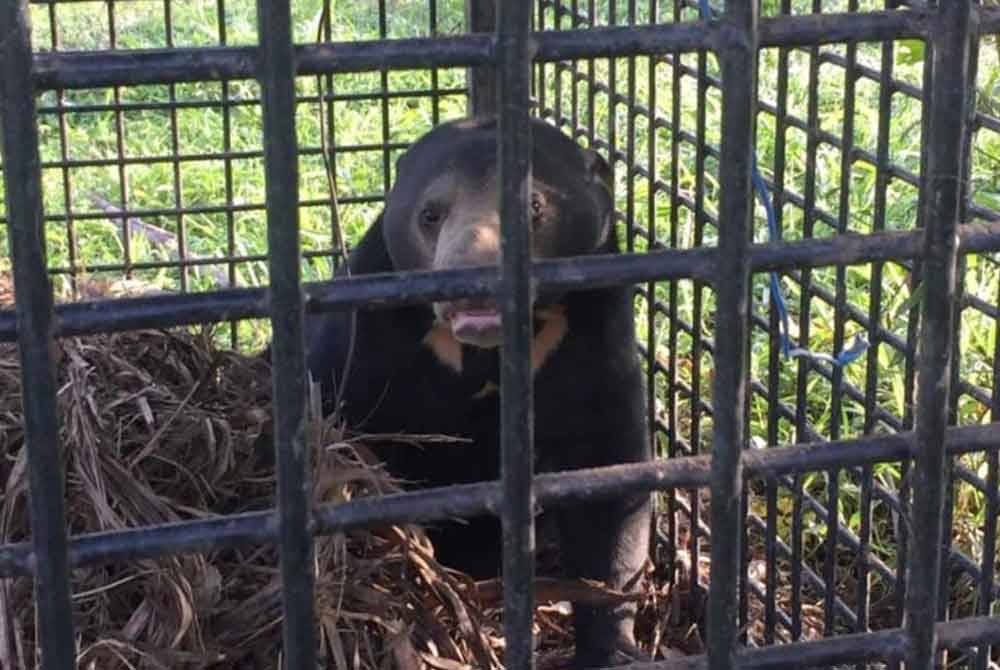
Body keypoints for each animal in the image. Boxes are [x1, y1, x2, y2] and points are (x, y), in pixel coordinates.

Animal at [308, 118, 652, 668]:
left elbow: (610, 493)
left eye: (534, 206)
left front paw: (612, 647)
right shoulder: (363, 340)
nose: (472, 280)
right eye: (431, 214)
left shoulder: (596, 339)